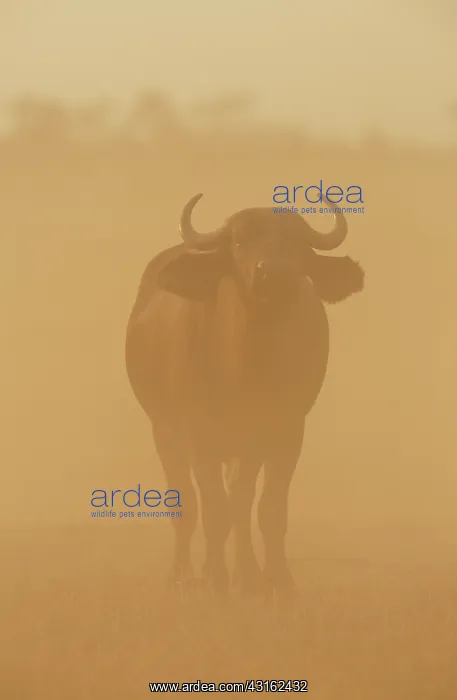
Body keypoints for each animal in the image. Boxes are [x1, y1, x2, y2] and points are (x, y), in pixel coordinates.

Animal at [125, 193, 364, 598]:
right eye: (239, 241)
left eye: (297, 242)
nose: (273, 272)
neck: (246, 366)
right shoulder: (198, 434)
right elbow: (212, 510)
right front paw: (214, 579)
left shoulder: (286, 431)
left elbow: (268, 510)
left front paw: (278, 583)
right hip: (164, 431)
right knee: (186, 503)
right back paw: (184, 575)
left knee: (240, 502)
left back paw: (246, 575)